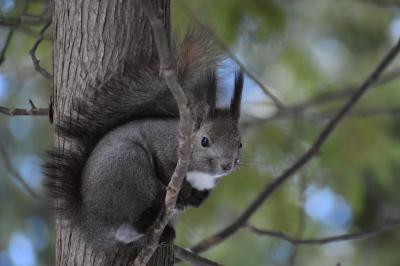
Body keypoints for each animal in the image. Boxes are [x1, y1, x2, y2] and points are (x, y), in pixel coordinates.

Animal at [43, 30, 244, 250]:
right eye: (205, 141)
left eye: (240, 143)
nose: (227, 165)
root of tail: (91, 222)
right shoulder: (164, 147)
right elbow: (165, 168)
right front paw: (183, 193)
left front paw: (197, 197)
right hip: (130, 171)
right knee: (138, 213)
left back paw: (164, 233)